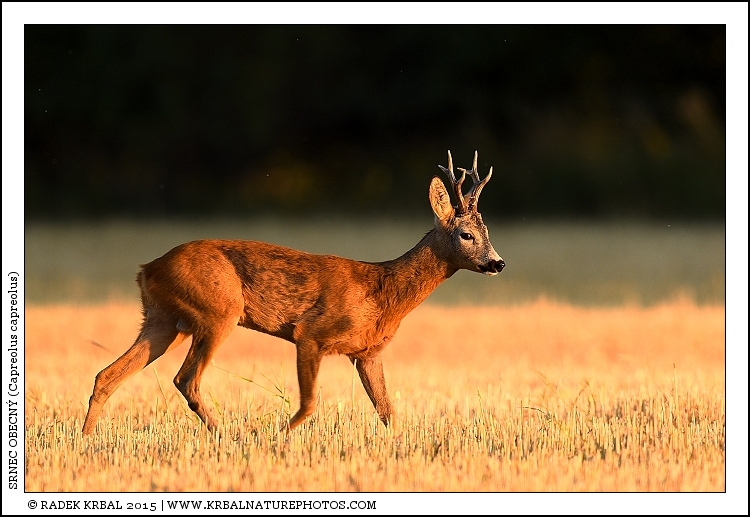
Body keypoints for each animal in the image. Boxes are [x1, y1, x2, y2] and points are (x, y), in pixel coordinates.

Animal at [81, 150, 504, 436]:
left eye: (487, 232)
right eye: (465, 234)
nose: (497, 263)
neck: (383, 293)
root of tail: (146, 269)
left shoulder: (368, 353)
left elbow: (388, 412)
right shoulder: (311, 334)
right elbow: (310, 403)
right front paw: (278, 438)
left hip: (165, 321)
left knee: (106, 375)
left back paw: (86, 440)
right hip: (218, 311)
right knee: (186, 379)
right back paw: (227, 437)